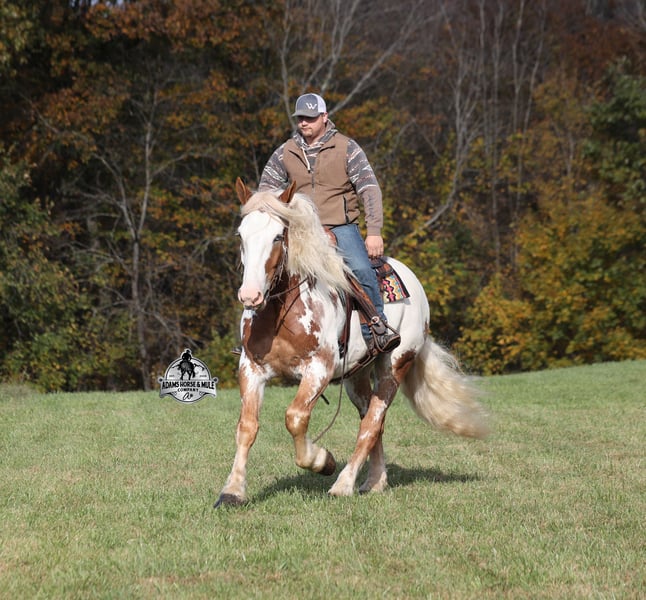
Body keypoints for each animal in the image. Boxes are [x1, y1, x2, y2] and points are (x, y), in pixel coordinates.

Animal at [215, 178, 489, 506]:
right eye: (241, 235)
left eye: (278, 235)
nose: (250, 295)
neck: (281, 314)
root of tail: (414, 283)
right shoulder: (251, 368)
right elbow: (247, 427)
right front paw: (232, 490)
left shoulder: (318, 369)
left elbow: (295, 418)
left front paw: (322, 461)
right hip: (356, 376)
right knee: (372, 419)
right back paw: (375, 481)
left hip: (394, 366)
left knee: (371, 423)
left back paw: (344, 483)